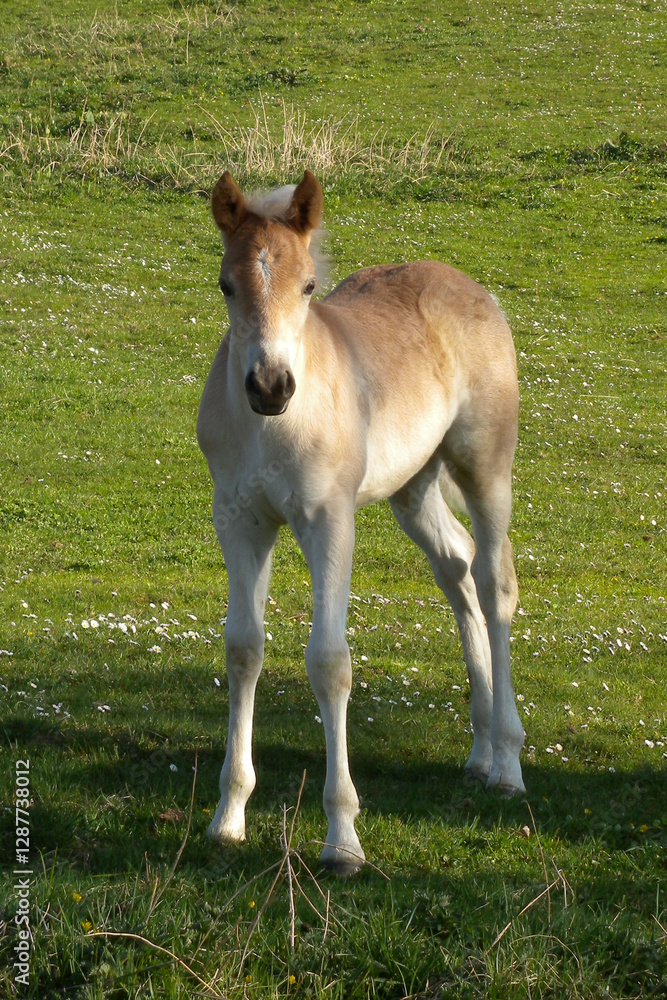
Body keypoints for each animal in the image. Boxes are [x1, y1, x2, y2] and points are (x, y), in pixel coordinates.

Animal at [197, 169, 525, 875]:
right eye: (227, 284)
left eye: (308, 286)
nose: (270, 386)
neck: (273, 429)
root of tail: (467, 285)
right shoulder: (239, 521)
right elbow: (243, 650)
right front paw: (229, 815)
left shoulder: (329, 520)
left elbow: (329, 662)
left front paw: (343, 837)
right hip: (413, 487)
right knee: (456, 570)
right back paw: (480, 751)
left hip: (485, 467)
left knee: (494, 583)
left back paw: (509, 763)